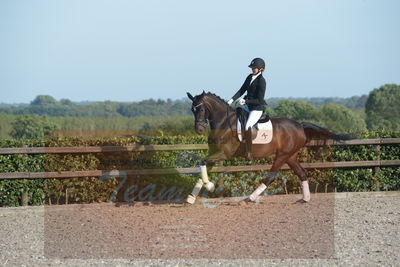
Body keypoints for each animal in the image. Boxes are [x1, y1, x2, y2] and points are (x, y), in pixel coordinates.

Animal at [185, 91, 354, 204]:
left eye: (201, 109)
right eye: (192, 110)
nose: (199, 129)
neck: (223, 123)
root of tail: (300, 126)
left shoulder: (223, 154)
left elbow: (202, 163)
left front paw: (210, 186)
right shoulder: (214, 153)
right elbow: (202, 167)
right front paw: (192, 196)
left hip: (282, 156)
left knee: (271, 176)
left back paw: (250, 198)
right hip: (290, 156)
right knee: (302, 173)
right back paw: (305, 199)